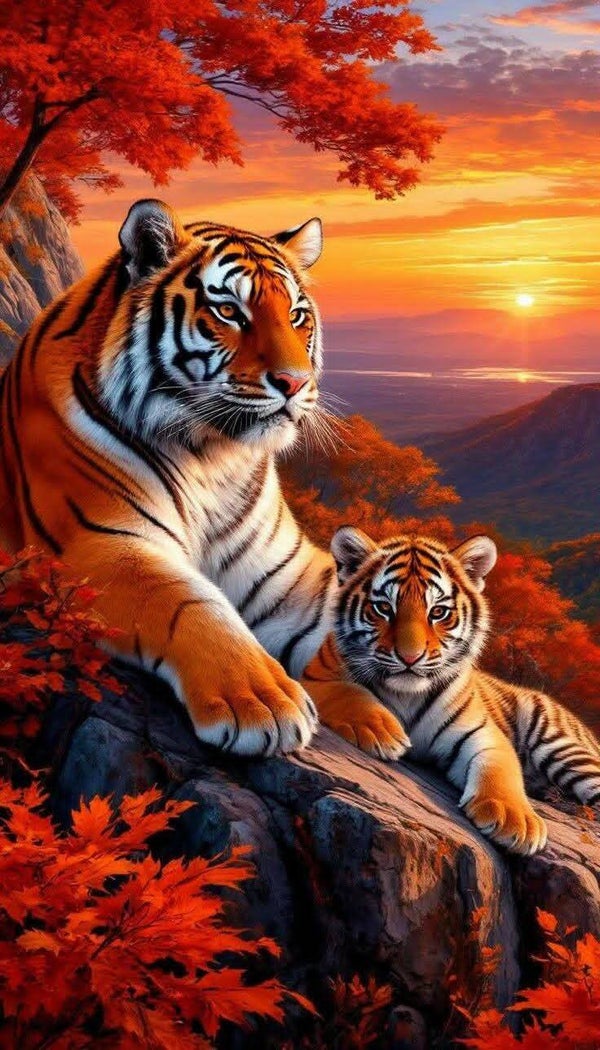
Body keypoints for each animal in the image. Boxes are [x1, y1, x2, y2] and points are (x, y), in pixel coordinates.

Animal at [0, 197, 345, 757]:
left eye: (296, 316)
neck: (217, 457)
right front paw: (264, 701)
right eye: (229, 311)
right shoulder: (99, 544)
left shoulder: (288, 575)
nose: (295, 383)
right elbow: (190, 602)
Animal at [302, 526, 600, 855]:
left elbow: (500, 768)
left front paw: (515, 820)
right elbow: (347, 692)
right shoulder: (312, 679)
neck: (406, 695)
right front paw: (382, 731)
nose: (410, 657)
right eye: (383, 608)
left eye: (438, 612)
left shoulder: (481, 731)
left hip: (562, 746)